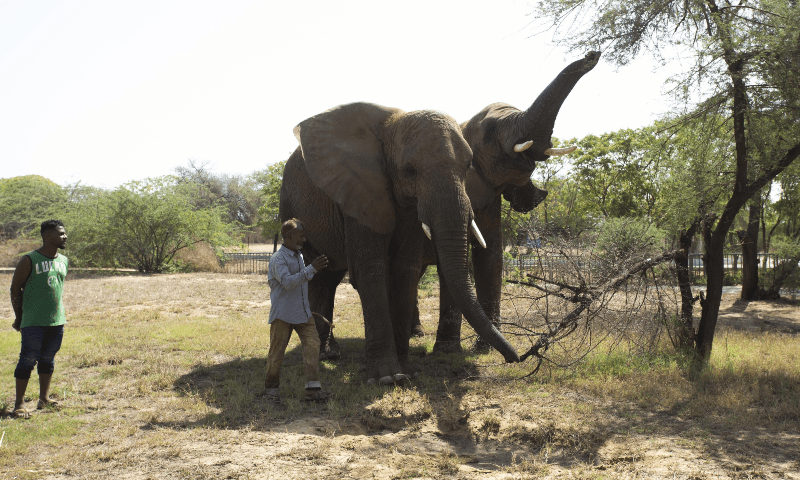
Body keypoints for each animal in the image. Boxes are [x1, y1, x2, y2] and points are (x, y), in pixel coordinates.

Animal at [279, 102, 520, 385]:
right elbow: (371, 271)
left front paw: (407, 370)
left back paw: (331, 353)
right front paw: (387, 378)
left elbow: (406, 268)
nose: (515, 358)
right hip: (291, 207)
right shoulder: (360, 190)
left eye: (468, 166)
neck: (392, 125)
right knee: (315, 275)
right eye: (410, 170)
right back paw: (325, 355)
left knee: (329, 277)